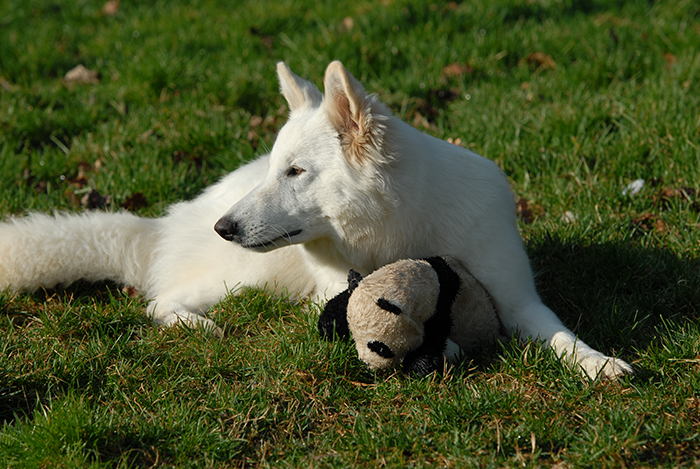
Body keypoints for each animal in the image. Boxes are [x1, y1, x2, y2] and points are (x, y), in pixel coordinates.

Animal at [0, 60, 632, 378]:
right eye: (277, 167)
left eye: (296, 171)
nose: (225, 228)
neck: (399, 229)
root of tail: (167, 224)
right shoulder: (338, 293)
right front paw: (438, 349)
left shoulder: (517, 296)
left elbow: (558, 333)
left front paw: (598, 364)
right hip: (243, 277)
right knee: (160, 300)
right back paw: (196, 325)